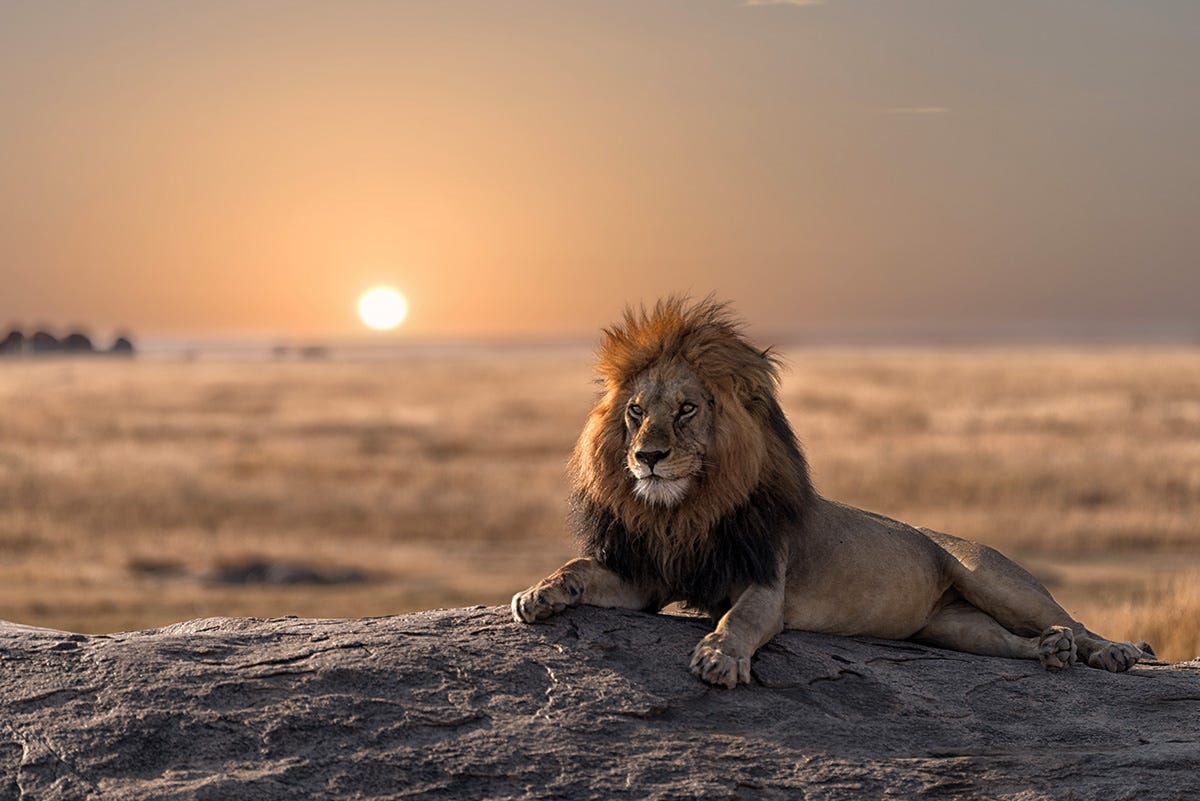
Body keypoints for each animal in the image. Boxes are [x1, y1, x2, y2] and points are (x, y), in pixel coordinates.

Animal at [508, 299, 1142, 690]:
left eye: (686, 409)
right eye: (637, 412)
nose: (647, 457)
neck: (686, 510)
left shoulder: (765, 583)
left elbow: (737, 619)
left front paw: (718, 657)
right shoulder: (647, 578)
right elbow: (579, 568)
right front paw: (539, 593)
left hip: (993, 578)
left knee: (1070, 620)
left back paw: (1112, 651)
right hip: (951, 627)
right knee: (1011, 642)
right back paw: (1050, 653)